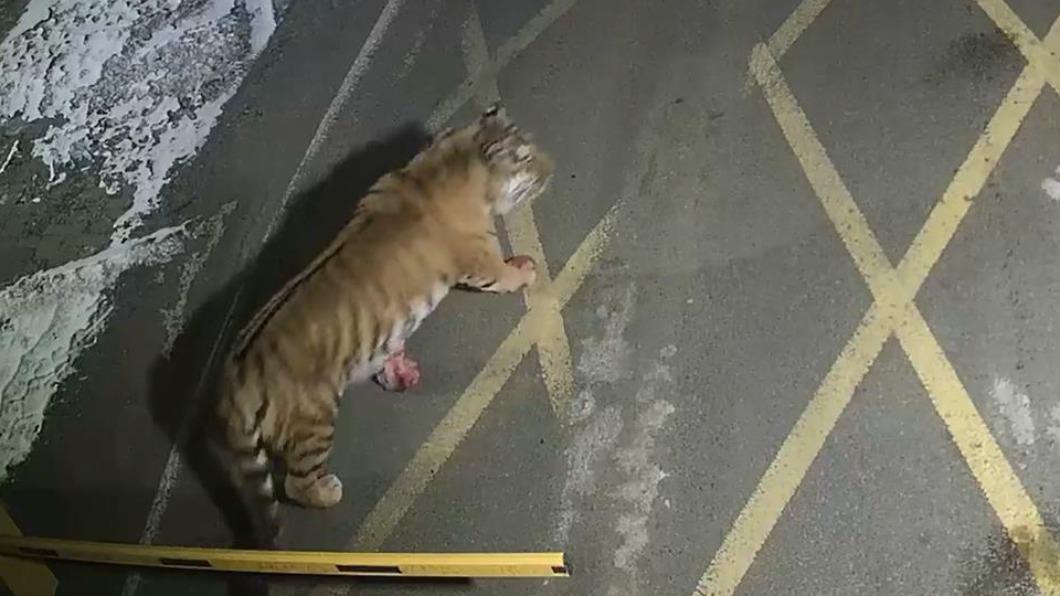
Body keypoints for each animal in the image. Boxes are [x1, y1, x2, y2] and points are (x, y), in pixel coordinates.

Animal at [212, 103, 554, 546]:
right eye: (526, 158)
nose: (552, 167)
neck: (452, 161)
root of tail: (234, 378)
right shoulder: (481, 263)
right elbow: (505, 274)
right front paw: (525, 269)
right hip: (313, 422)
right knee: (295, 484)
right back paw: (329, 491)